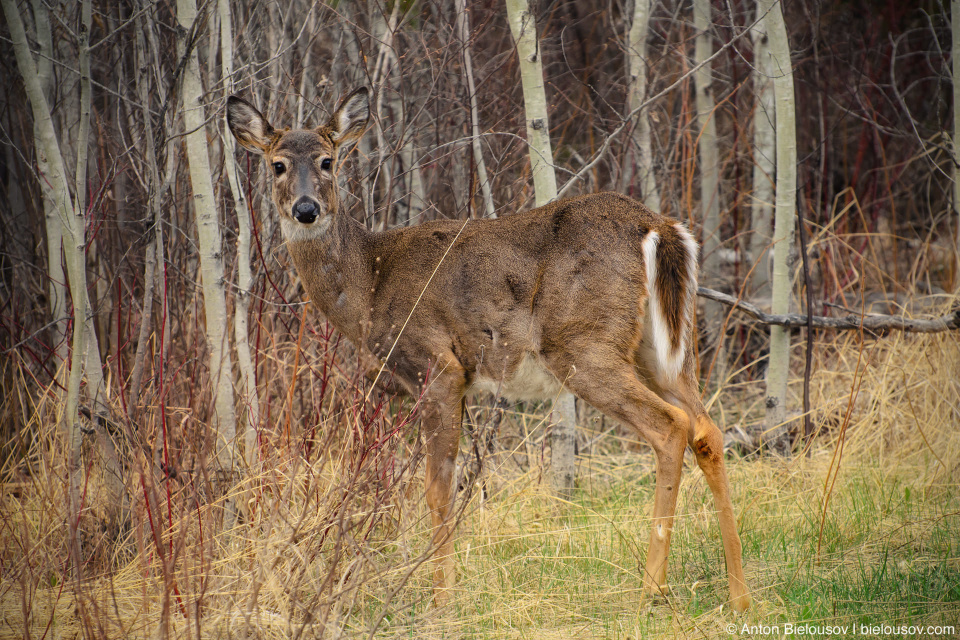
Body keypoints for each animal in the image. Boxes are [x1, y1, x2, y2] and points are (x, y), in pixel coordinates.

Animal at [225, 87, 752, 612]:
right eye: (277, 164)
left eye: (328, 160)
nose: (306, 209)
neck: (369, 284)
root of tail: (659, 226)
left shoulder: (437, 366)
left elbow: (437, 490)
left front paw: (441, 597)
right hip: (658, 350)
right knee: (708, 430)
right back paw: (739, 593)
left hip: (583, 346)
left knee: (671, 427)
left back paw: (650, 590)